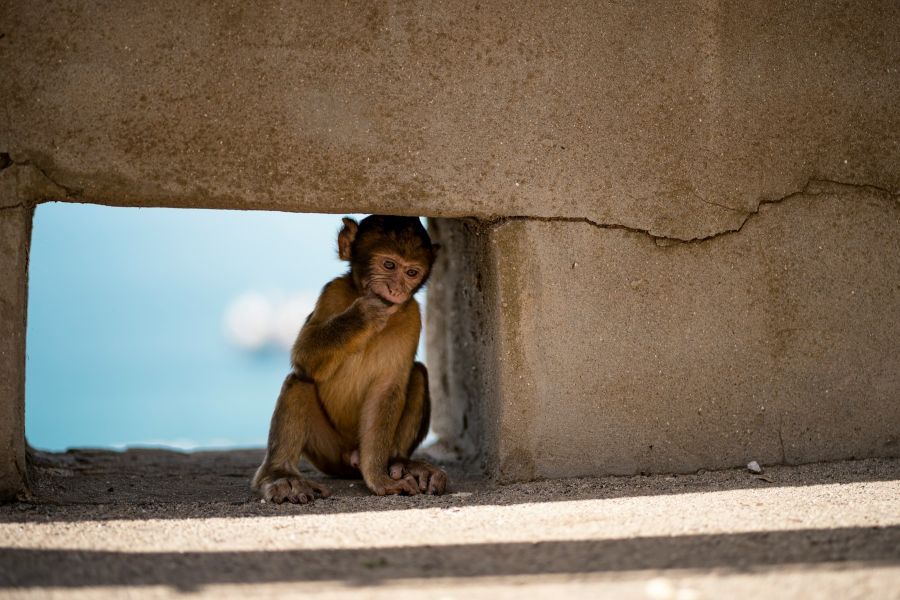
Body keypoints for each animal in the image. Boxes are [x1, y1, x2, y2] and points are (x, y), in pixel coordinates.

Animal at [252, 215, 448, 503]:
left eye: (412, 272)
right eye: (389, 265)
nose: (396, 289)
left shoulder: (411, 315)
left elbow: (386, 388)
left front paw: (378, 477)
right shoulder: (333, 292)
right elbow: (304, 354)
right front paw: (365, 315)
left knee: (418, 373)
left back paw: (402, 462)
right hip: (328, 451)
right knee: (300, 379)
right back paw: (280, 476)